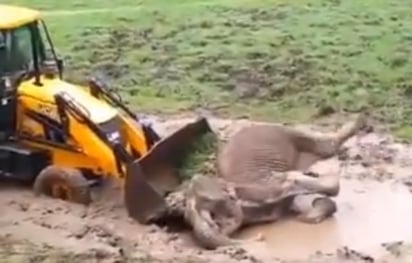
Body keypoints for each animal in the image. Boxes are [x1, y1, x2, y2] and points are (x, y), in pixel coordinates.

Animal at [161, 114, 366, 251]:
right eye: (186, 218)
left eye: (210, 205)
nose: (261, 237)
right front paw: (310, 213)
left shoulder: (265, 185)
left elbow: (295, 181)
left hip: (286, 131)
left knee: (325, 145)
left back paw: (357, 121)